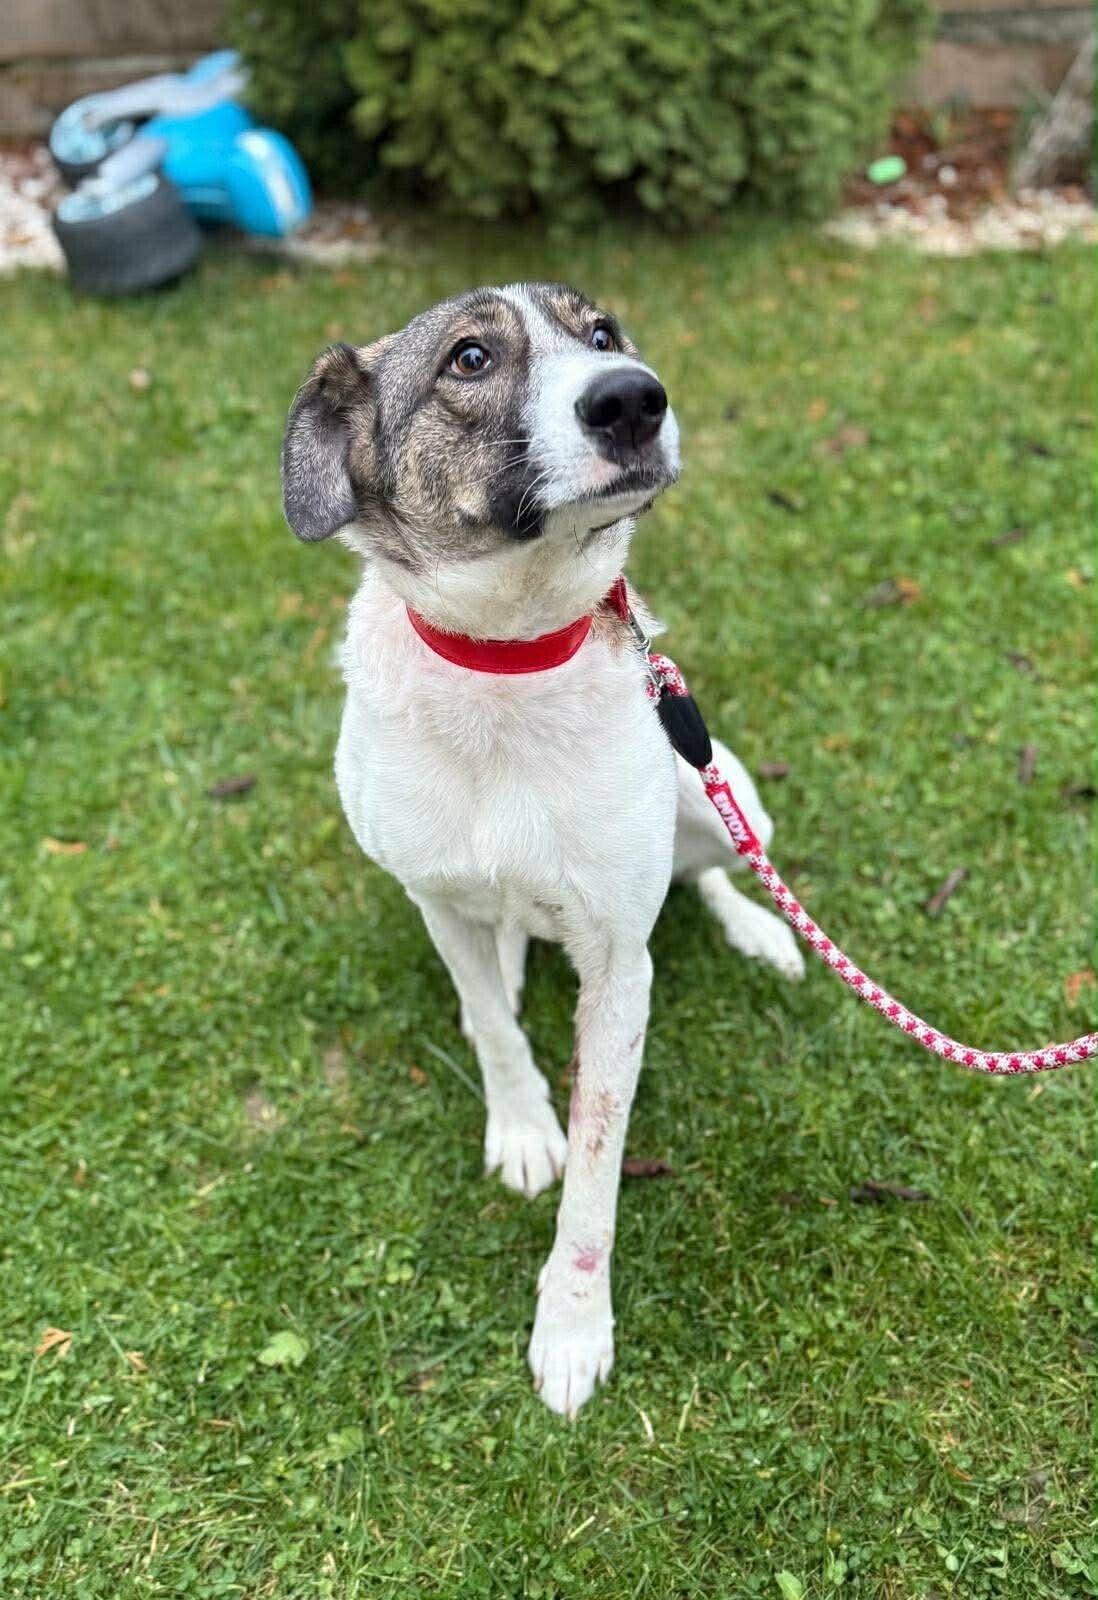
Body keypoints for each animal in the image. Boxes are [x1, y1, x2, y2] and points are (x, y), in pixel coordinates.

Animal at [281, 283, 804, 1416]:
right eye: (470, 358)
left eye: (603, 335)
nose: (635, 399)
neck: (508, 660)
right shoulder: (432, 895)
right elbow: (488, 1026)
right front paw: (521, 1128)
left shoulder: (618, 966)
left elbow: (597, 1176)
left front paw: (571, 1324)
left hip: (718, 789)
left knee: (715, 870)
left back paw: (764, 933)